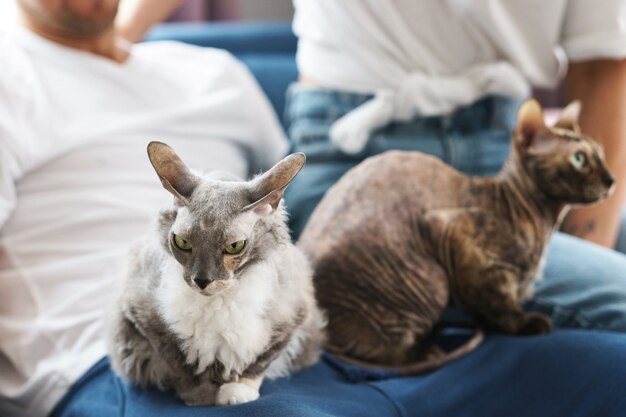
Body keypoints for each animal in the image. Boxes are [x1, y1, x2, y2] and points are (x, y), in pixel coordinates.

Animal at [105, 141, 324, 404]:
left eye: (234, 246)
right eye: (182, 242)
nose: (202, 280)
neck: (218, 303)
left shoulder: (293, 316)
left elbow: (260, 361)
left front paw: (237, 393)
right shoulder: (144, 316)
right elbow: (180, 365)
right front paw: (203, 398)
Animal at [298, 99, 616, 372]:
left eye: (601, 156)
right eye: (579, 159)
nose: (611, 180)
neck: (543, 221)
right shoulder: (456, 238)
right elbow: (498, 303)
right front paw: (525, 322)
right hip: (432, 281)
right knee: (374, 349)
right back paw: (425, 351)